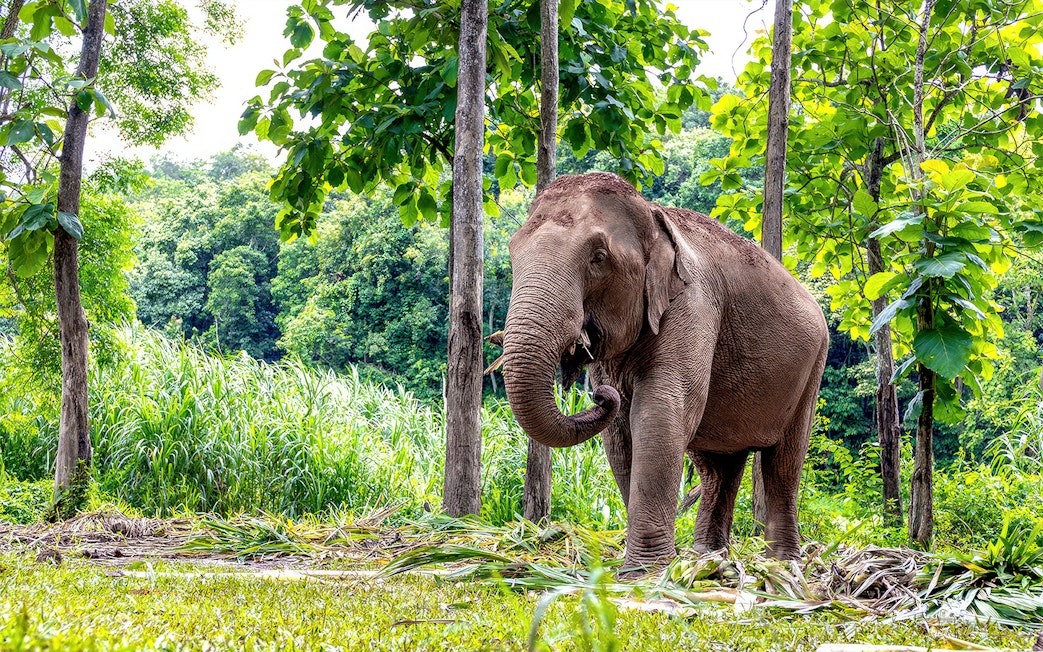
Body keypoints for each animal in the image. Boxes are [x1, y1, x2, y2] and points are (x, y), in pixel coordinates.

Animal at [501, 172, 829, 570]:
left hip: (812, 368)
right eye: (513, 253)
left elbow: (660, 411)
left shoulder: (695, 304)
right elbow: (620, 432)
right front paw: (656, 567)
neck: (654, 216)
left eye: (599, 258)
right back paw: (708, 559)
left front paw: (645, 571)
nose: (599, 396)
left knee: (784, 462)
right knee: (718, 466)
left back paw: (781, 565)